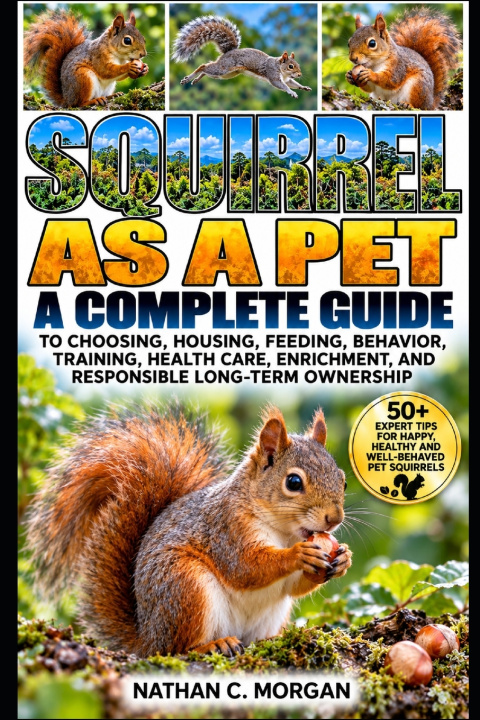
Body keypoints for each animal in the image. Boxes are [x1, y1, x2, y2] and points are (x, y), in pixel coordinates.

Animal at [26, 402, 352, 658]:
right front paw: (298, 554)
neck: (283, 530)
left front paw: (343, 559)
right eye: (293, 482)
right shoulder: (225, 529)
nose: (334, 519)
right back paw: (212, 645)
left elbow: (292, 586)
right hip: (184, 585)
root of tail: (148, 638)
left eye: (343, 480)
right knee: (177, 648)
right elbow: (245, 568)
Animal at [172, 16, 311, 98]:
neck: (280, 68)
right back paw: (189, 78)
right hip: (224, 68)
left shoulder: (287, 79)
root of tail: (228, 52)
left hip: (226, 74)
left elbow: (292, 83)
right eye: (291, 66)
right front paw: (291, 92)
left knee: (207, 70)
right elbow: (282, 85)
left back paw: (196, 79)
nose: (299, 74)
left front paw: (303, 87)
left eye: (298, 65)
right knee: (203, 66)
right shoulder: (273, 75)